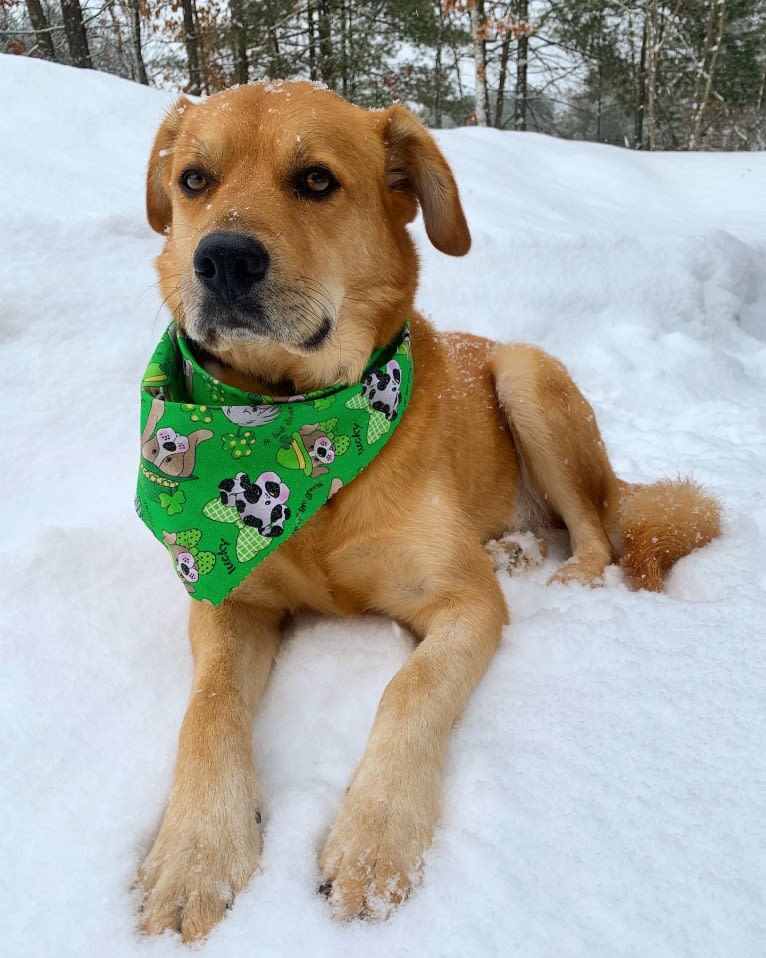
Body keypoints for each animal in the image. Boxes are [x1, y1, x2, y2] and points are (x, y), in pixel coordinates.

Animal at [136, 79, 720, 940]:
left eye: (316, 180)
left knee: (595, 532)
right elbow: (207, 711)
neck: (288, 422)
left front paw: (375, 839)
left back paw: (564, 577)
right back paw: (515, 549)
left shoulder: (463, 603)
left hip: (526, 375)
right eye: (194, 181)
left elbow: (409, 692)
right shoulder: (228, 601)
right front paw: (195, 852)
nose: (223, 259)